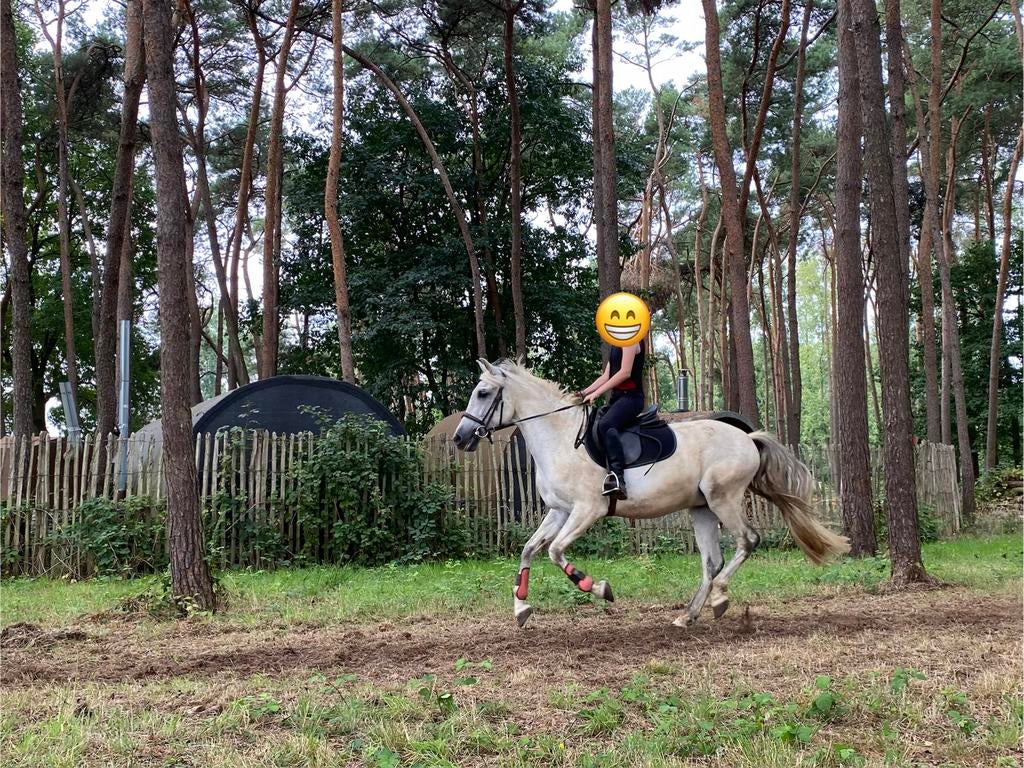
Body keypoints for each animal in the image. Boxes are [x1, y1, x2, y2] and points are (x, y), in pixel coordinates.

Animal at [452, 359, 850, 628]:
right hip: (701, 508)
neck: (560, 439)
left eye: (483, 393)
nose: (459, 437)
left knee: (747, 541)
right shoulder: (559, 511)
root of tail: (748, 437)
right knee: (712, 560)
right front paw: (521, 608)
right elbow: (530, 549)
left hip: (723, 498)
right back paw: (688, 615)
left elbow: (555, 551)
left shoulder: (587, 510)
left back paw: (720, 597)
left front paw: (599, 588)